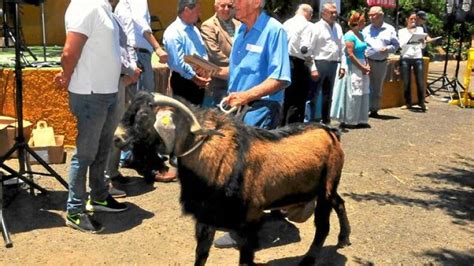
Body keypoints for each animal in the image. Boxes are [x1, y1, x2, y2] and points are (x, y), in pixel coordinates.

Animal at [114, 92, 352, 264]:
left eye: (143, 116)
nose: (117, 138)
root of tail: (330, 132)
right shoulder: (206, 216)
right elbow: (201, 253)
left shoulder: (250, 218)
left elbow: (245, 259)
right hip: (328, 186)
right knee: (340, 202)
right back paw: (344, 238)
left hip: (325, 188)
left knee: (323, 227)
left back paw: (309, 259)